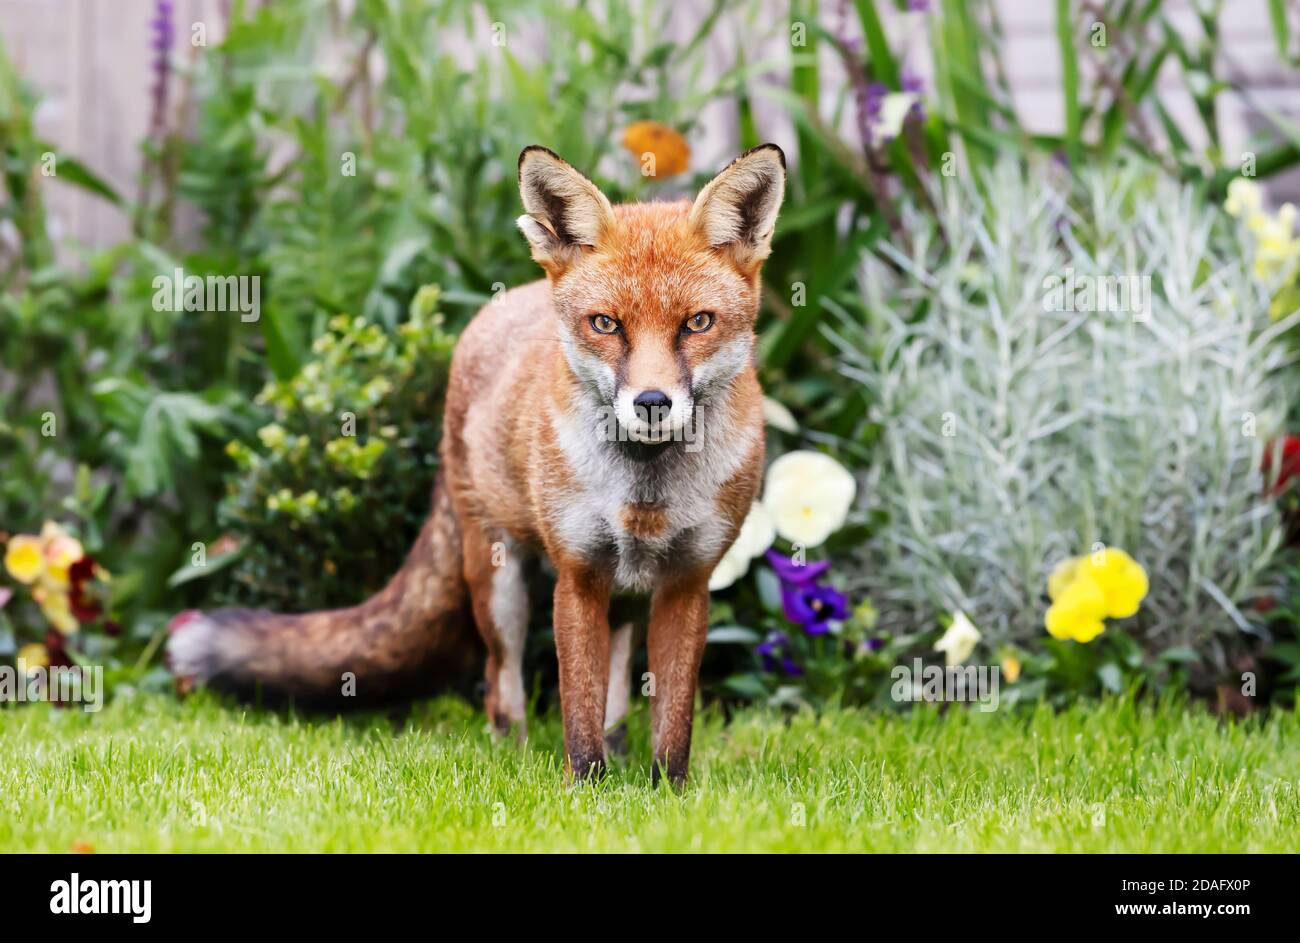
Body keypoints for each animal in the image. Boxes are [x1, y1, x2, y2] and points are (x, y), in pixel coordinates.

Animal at [169, 143, 786, 784]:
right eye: (606, 324)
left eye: (697, 323)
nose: (652, 403)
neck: (645, 492)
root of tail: (500, 306)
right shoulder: (578, 576)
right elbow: (578, 710)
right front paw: (587, 790)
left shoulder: (687, 582)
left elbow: (672, 724)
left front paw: (666, 793)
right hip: (498, 582)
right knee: (500, 681)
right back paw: (512, 755)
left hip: (619, 595)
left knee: (615, 685)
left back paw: (617, 757)